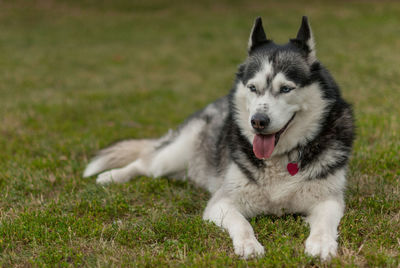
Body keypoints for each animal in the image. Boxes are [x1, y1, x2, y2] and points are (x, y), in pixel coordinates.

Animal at [83, 16, 354, 260]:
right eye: (253, 88)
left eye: (286, 88)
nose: (257, 121)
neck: (280, 159)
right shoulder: (222, 202)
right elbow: (242, 224)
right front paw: (249, 245)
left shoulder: (328, 200)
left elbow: (324, 224)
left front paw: (321, 244)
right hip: (172, 156)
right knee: (144, 163)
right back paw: (111, 176)